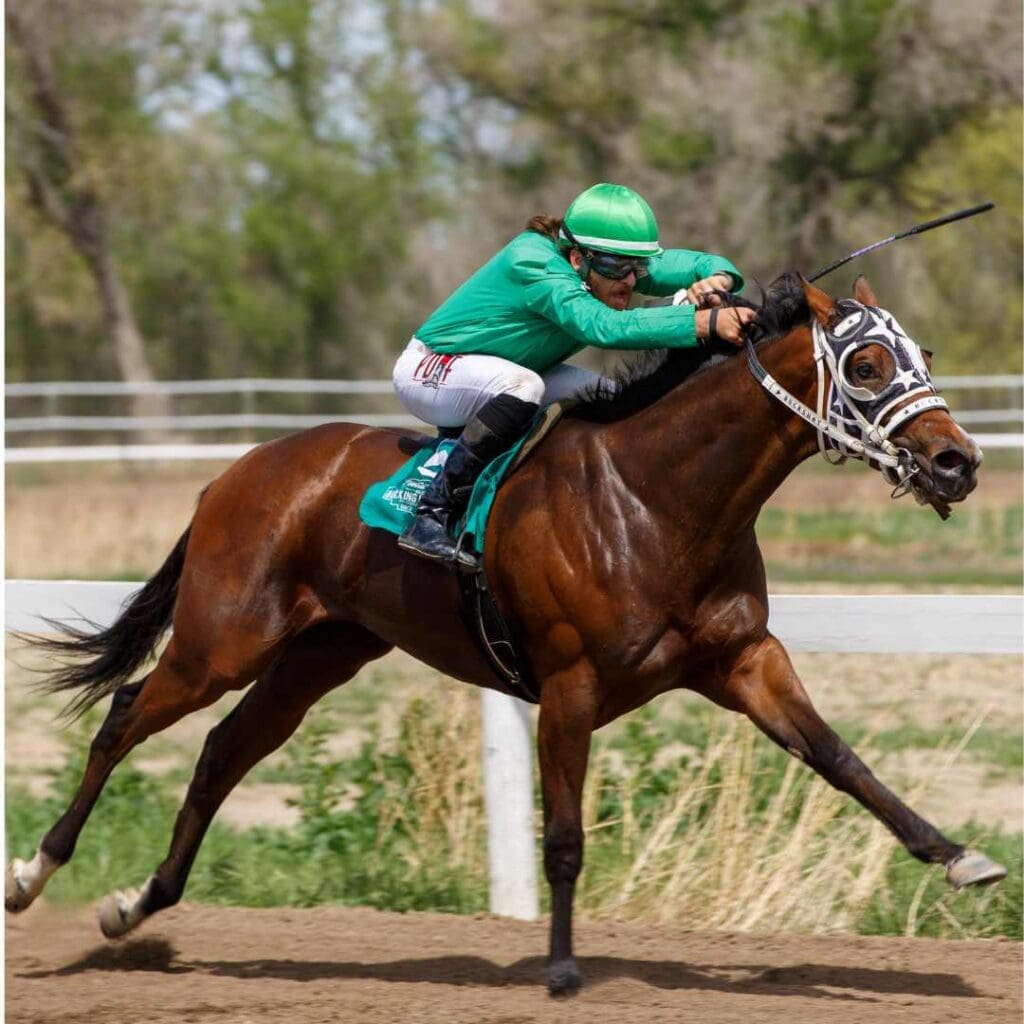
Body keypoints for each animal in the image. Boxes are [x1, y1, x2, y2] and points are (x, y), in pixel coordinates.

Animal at [6, 272, 1006, 996]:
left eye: (921, 352)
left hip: (317, 657)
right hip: (222, 640)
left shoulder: (743, 660)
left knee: (221, 752)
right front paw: (561, 967)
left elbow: (843, 760)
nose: (957, 462)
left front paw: (961, 857)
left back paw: (137, 904)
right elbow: (562, 835)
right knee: (125, 716)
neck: (657, 499)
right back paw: (33, 872)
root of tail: (235, 473)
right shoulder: (569, 683)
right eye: (868, 363)